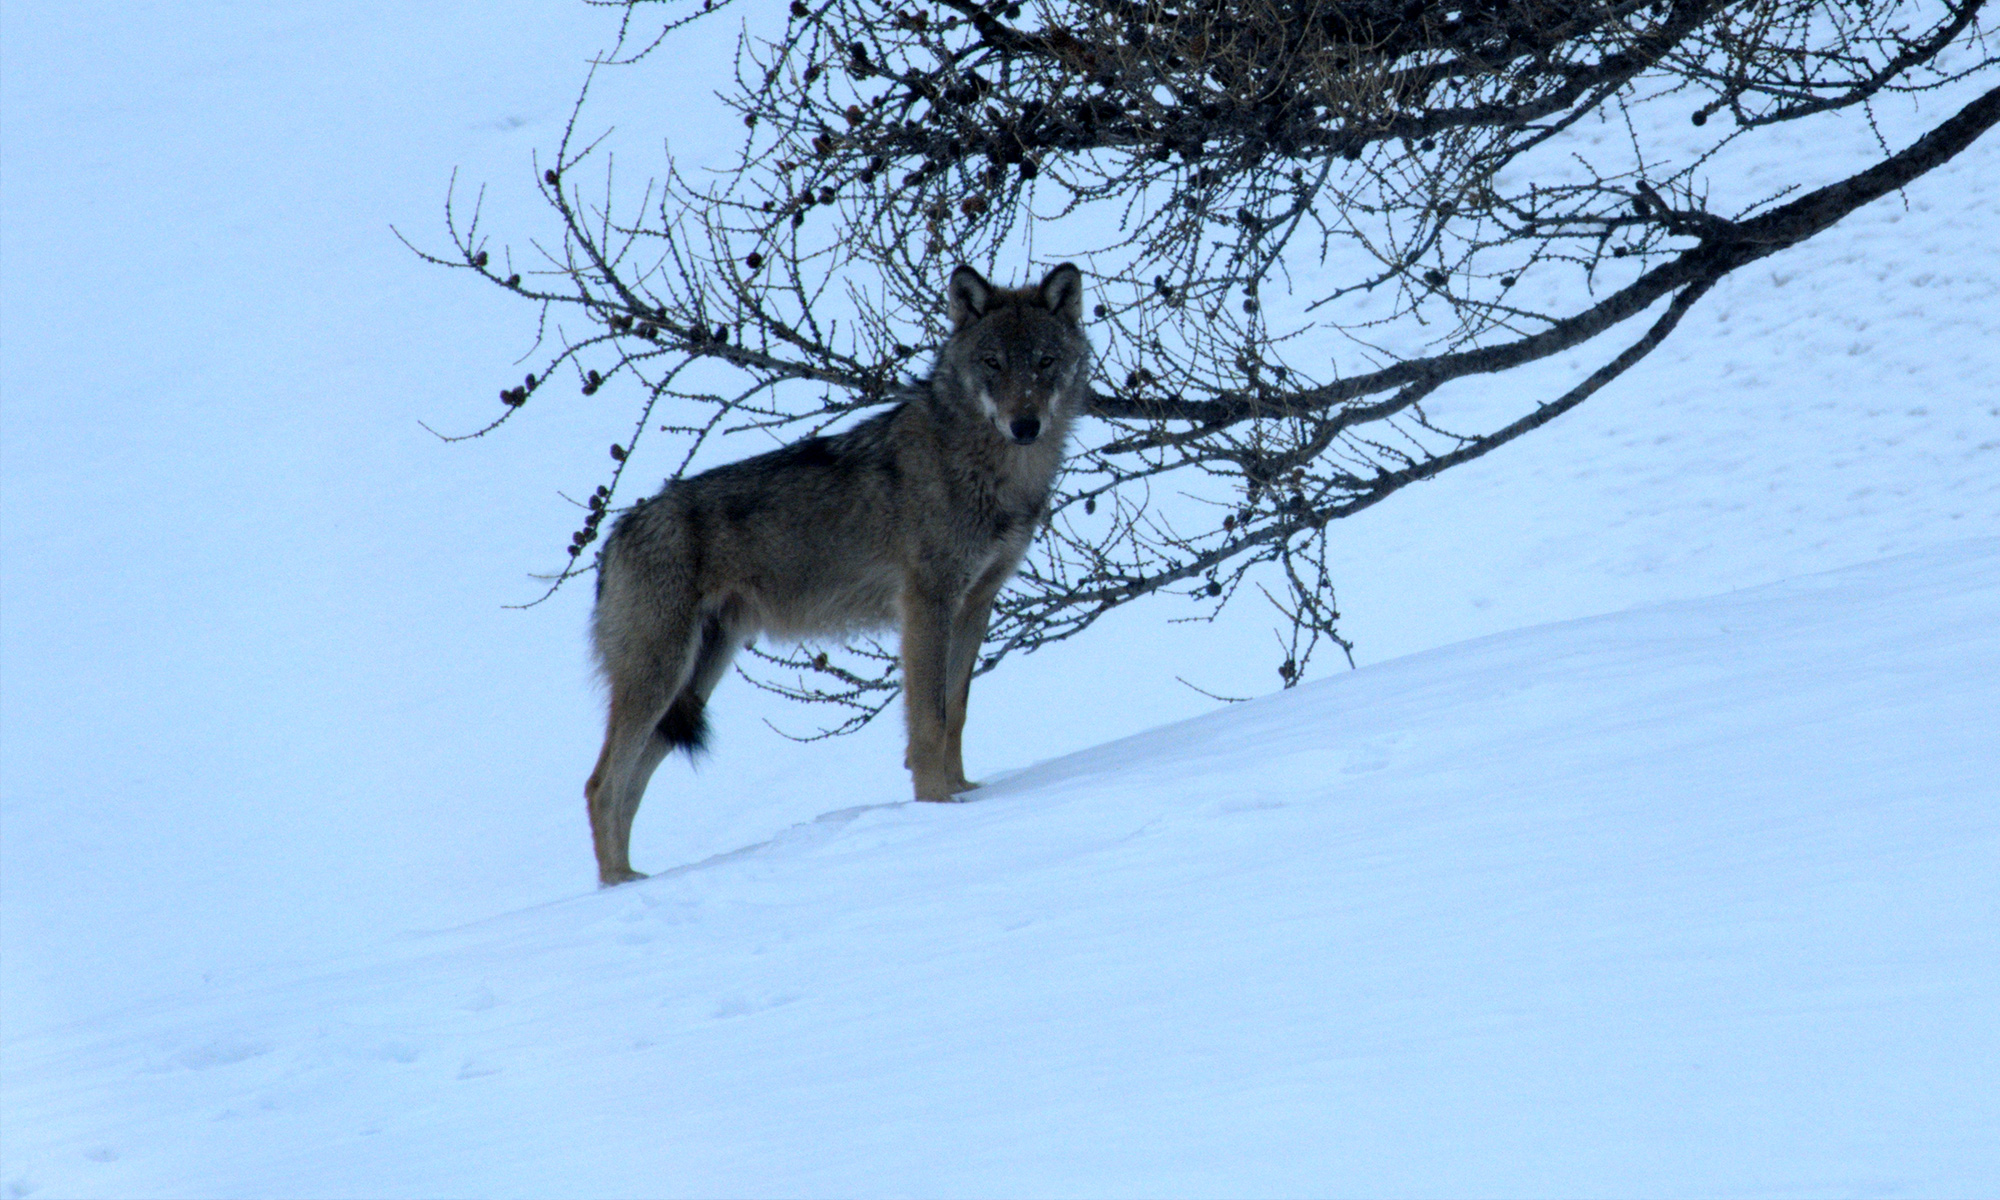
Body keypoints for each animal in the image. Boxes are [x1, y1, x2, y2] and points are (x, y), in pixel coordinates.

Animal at [584, 262, 1096, 880]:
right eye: (993, 363)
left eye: (1044, 361)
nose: (1025, 424)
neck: (995, 471)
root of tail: (616, 535)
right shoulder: (926, 604)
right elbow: (929, 720)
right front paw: (936, 807)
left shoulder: (976, 604)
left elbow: (956, 712)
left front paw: (963, 794)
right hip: (660, 677)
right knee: (601, 786)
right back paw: (618, 883)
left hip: (693, 683)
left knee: (628, 788)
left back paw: (630, 881)